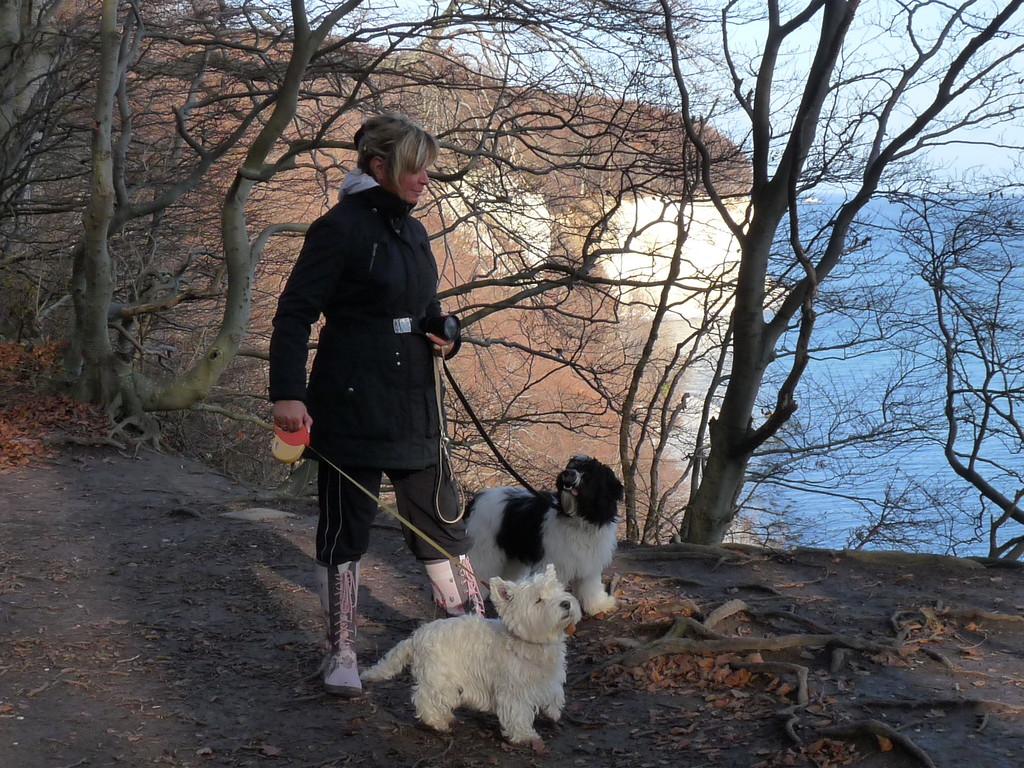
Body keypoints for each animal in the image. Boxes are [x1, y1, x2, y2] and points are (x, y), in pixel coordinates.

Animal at [364, 565, 581, 745]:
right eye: (538, 600)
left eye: (559, 591)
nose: (566, 603)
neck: (531, 643)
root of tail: (416, 636)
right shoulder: (514, 689)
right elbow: (518, 713)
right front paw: (525, 736)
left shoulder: (549, 678)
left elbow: (556, 694)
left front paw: (553, 712)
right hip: (439, 678)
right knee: (424, 698)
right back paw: (437, 722)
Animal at [466, 454, 622, 618]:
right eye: (572, 466)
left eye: (589, 472)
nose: (567, 473)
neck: (581, 520)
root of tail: (476, 499)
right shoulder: (554, 562)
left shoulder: (590, 563)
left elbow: (591, 586)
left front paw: (598, 605)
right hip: (483, 551)